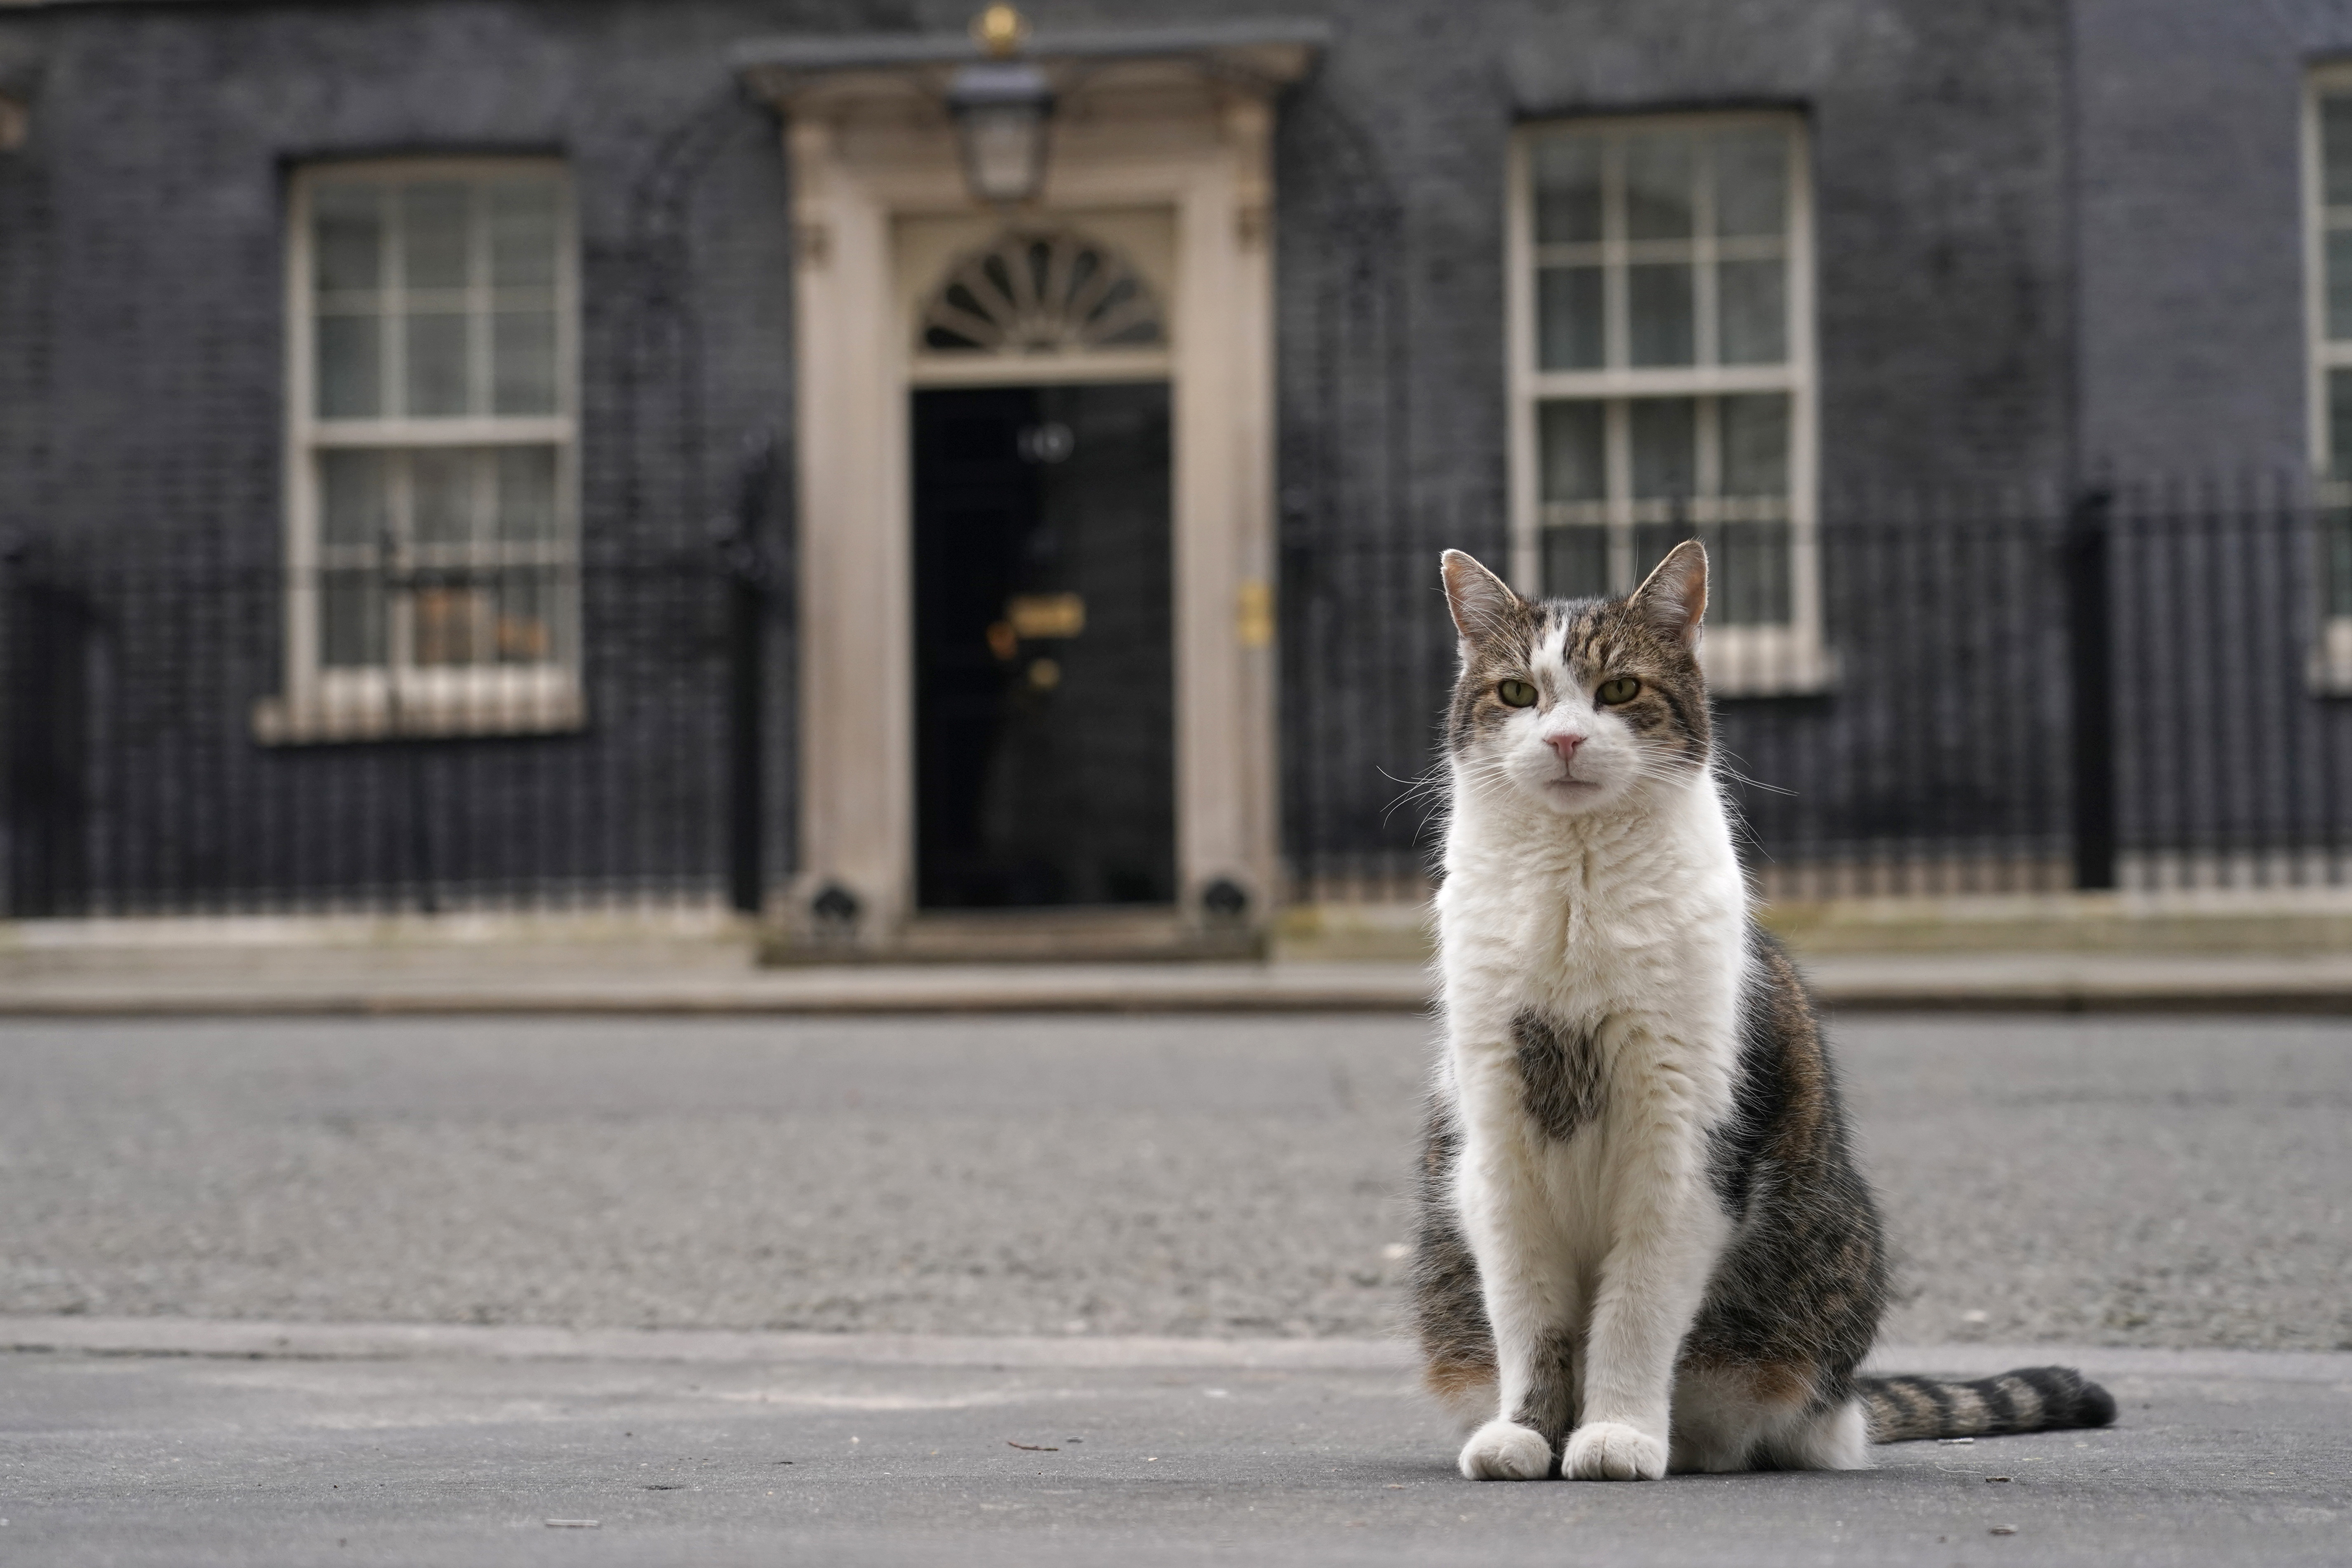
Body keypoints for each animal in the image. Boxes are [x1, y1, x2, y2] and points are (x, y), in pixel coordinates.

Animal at [1411, 545, 2117, 1476]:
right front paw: (1526, 1432)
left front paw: (1618, 1432)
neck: (1575, 889)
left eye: (1620, 690)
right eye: (1517, 693)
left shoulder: (1683, 1146)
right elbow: (1531, 1318)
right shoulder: (1497, 1145)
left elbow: (1633, 1313)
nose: (1563, 739)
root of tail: (1847, 1402)